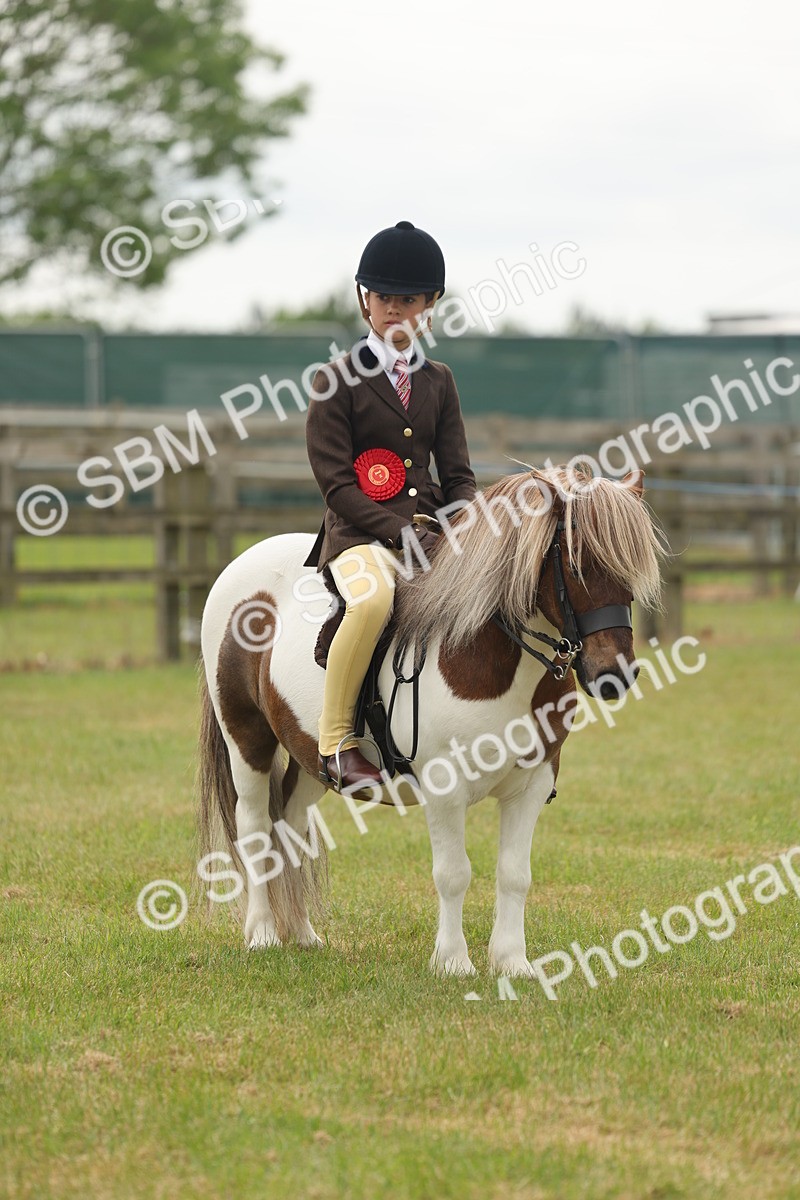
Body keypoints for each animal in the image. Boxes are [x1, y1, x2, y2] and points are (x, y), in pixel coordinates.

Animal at [197, 465, 664, 977]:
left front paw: (512, 963)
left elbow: (515, 874)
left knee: (292, 826)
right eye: (577, 564)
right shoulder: (445, 787)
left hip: (308, 755)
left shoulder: (531, 784)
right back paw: (262, 933)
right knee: (255, 827)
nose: (614, 675)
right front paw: (453, 962)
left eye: (633, 569)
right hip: (246, 738)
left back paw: (301, 934)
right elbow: (453, 873)